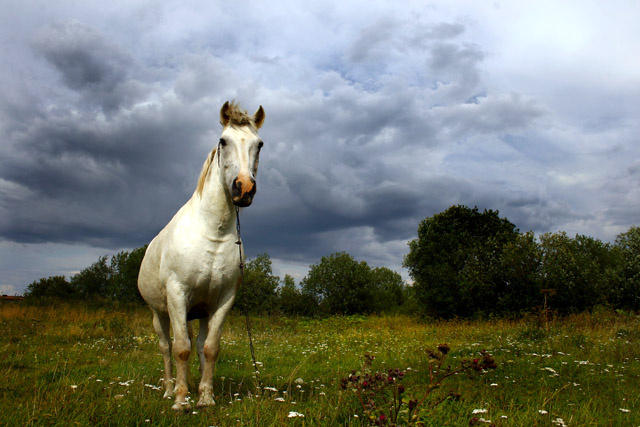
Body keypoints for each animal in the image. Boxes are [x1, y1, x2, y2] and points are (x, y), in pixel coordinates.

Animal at [137, 101, 265, 411]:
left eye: (259, 144)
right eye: (223, 141)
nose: (244, 188)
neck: (212, 233)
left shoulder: (222, 300)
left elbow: (209, 348)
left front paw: (205, 397)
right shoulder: (177, 294)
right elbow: (180, 349)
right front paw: (181, 401)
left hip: (199, 311)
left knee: (197, 344)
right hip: (159, 312)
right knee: (166, 347)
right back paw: (169, 390)